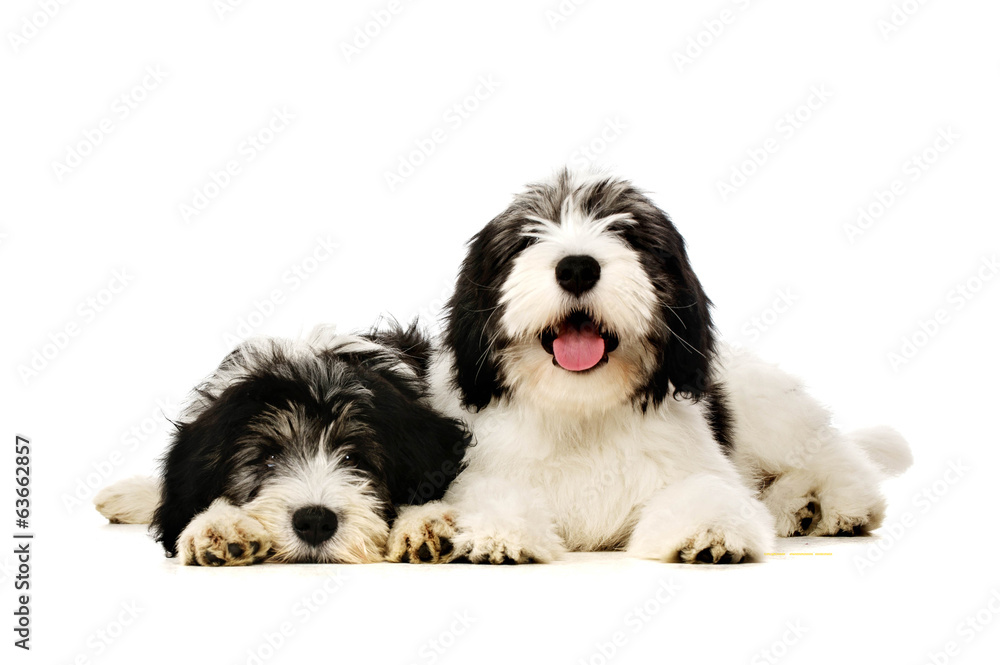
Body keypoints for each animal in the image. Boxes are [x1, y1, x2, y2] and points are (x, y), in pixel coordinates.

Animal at [384, 169, 916, 564]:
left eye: (627, 233)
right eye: (525, 240)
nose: (577, 267)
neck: (583, 413)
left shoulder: (695, 466)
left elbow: (706, 494)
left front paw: (707, 531)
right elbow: (492, 496)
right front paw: (498, 533)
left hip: (773, 414)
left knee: (840, 458)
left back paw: (840, 507)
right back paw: (797, 508)